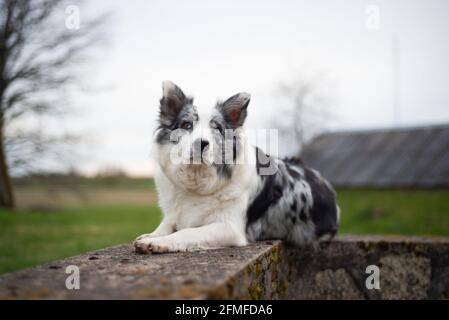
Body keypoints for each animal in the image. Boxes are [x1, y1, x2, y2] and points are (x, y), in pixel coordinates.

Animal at [135, 81, 338, 254]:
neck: (198, 180)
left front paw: (158, 242)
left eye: (217, 128)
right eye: (186, 125)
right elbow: (166, 224)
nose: (201, 144)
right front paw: (152, 235)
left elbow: (187, 232)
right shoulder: (176, 213)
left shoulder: (230, 228)